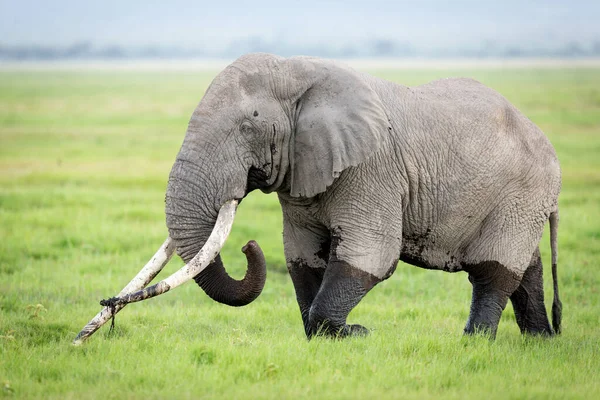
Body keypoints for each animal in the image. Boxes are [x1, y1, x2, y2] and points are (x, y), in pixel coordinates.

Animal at [72, 51, 560, 342]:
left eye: (247, 124)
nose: (249, 246)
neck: (295, 70)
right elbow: (302, 257)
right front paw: (321, 337)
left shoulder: (372, 168)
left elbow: (371, 255)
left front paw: (355, 334)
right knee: (527, 269)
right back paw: (540, 340)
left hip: (523, 192)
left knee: (494, 270)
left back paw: (475, 342)